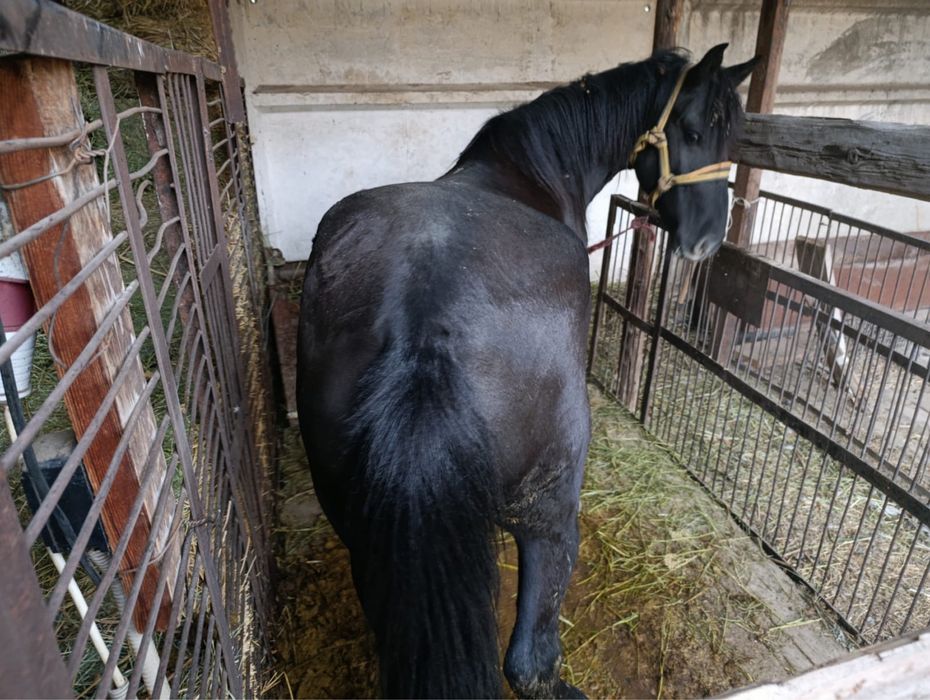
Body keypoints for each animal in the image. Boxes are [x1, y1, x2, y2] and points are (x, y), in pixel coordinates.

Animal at [297, 44, 758, 699]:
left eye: (732, 138)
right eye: (692, 131)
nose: (705, 242)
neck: (526, 173)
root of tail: (423, 326)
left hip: (363, 531)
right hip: (549, 510)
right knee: (529, 665)